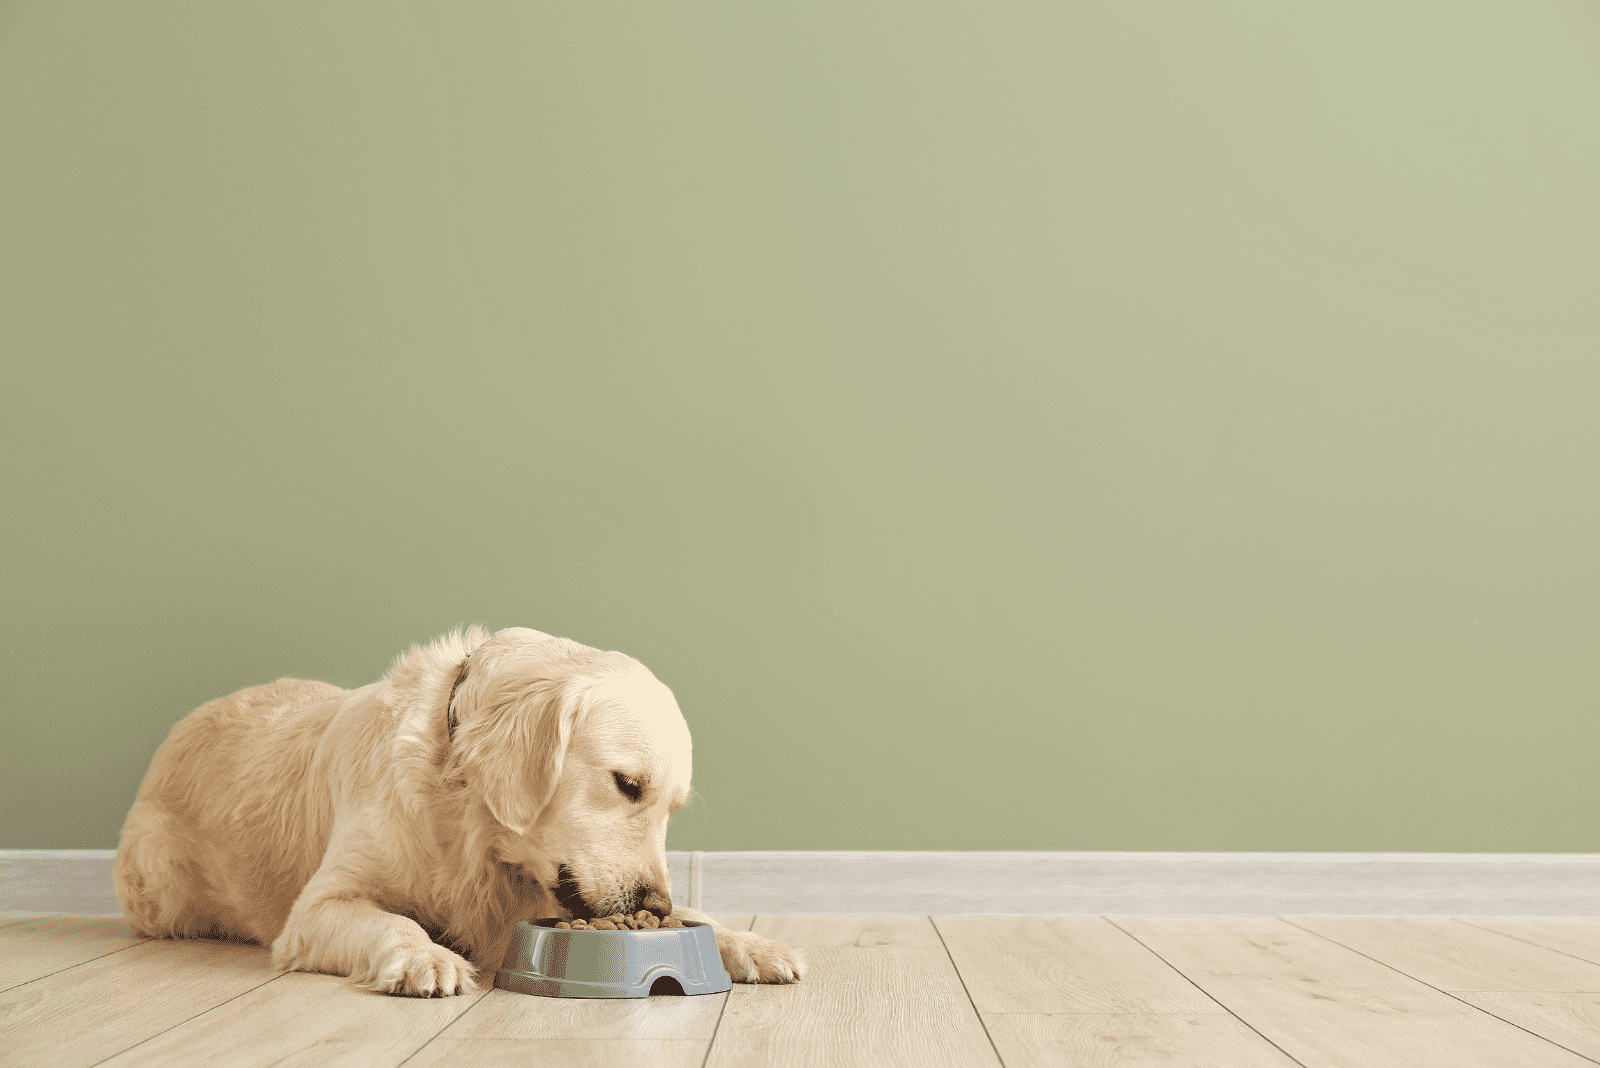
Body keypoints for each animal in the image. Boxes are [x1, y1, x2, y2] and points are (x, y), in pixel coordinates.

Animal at [114, 626, 806, 991]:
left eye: (672, 808)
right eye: (627, 784)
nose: (654, 906)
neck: (463, 813)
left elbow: (702, 916)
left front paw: (750, 943)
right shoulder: (318, 908)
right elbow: (395, 922)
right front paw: (427, 958)